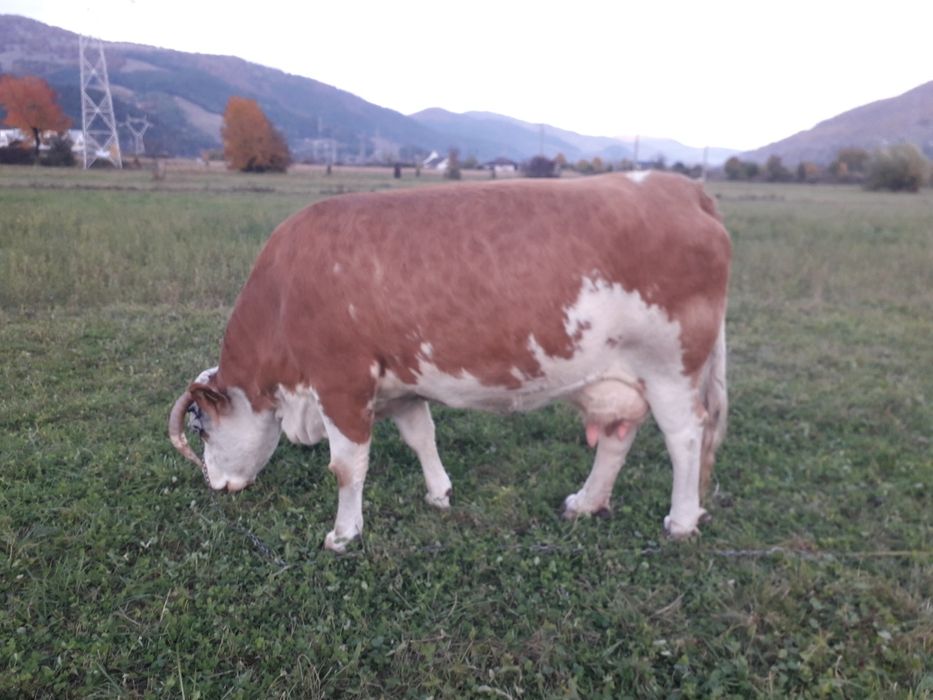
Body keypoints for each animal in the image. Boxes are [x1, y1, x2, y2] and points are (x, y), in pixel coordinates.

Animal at [169, 171, 730, 553]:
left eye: (201, 428)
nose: (216, 485)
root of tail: (679, 187)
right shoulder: (399, 382)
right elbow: (422, 435)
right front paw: (439, 494)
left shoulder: (341, 382)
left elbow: (346, 467)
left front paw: (343, 533)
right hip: (620, 374)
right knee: (617, 436)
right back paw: (586, 502)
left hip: (671, 368)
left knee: (685, 438)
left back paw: (681, 521)